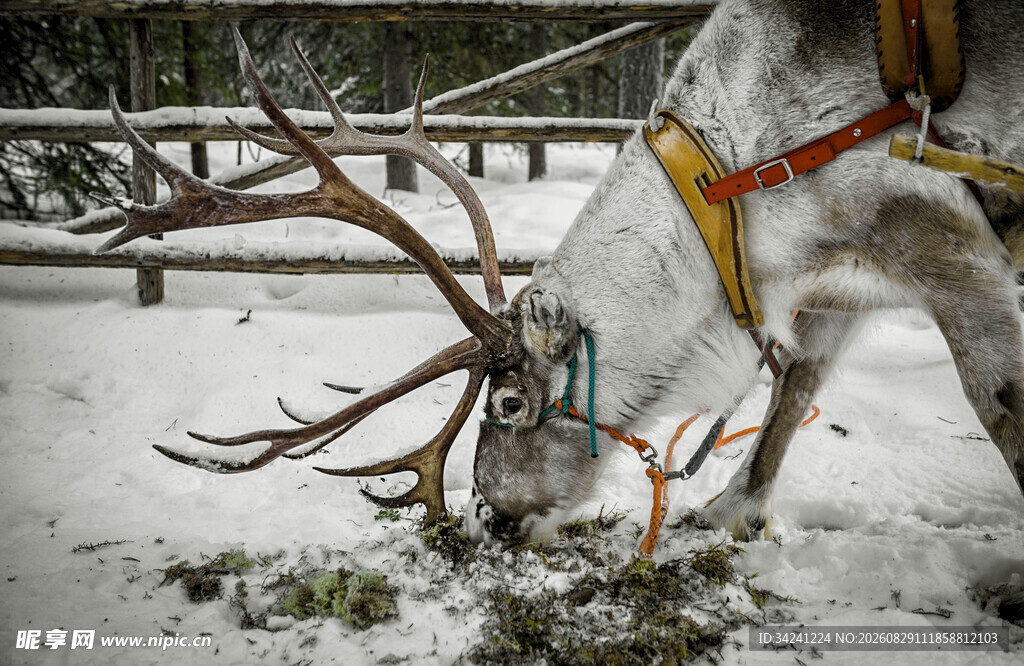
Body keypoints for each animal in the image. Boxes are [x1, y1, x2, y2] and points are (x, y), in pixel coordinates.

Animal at [97, 0, 1023, 557]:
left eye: (509, 405)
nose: (489, 521)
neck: (732, 186)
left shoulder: (941, 238)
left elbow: (998, 405)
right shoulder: (833, 285)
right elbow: (792, 391)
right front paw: (732, 510)